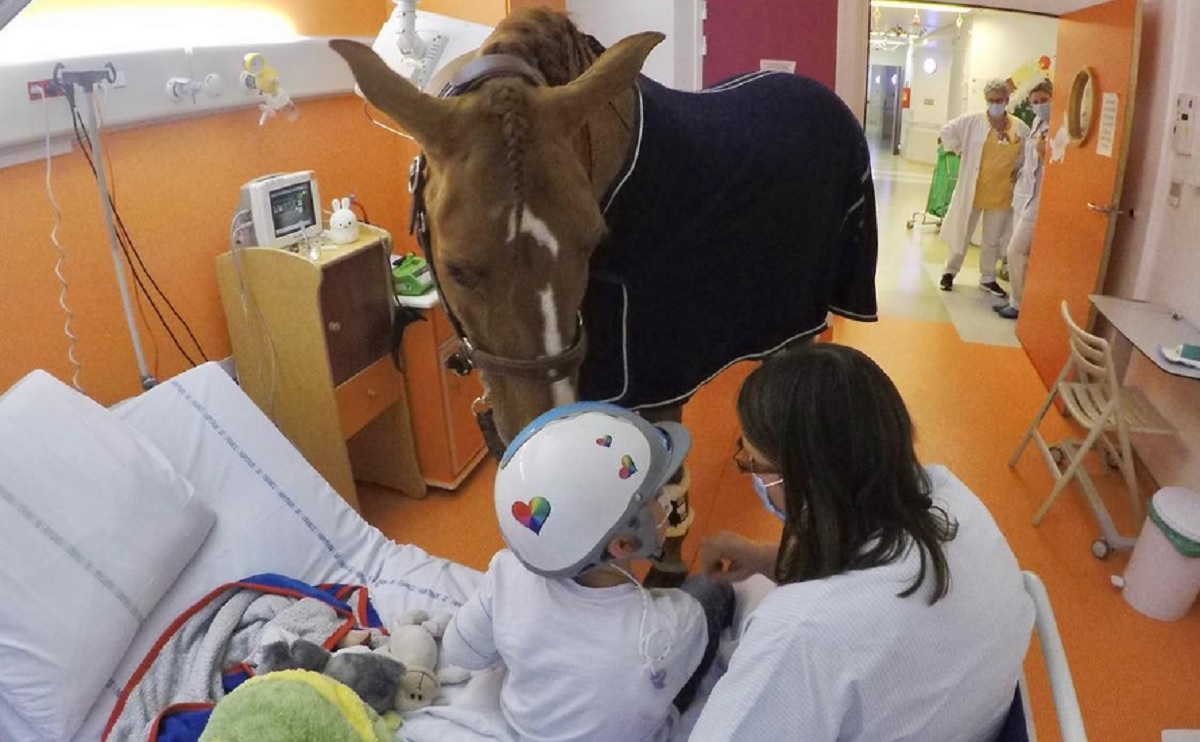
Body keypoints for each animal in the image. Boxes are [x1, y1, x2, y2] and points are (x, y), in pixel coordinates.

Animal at [333, 10, 878, 578]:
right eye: (458, 269)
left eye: (593, 241)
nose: (539, 428)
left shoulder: (660, 383)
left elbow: (668, 480)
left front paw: (666, 567)